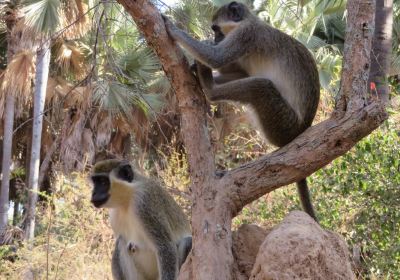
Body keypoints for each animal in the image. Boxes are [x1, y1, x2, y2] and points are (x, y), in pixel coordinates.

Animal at [161, 1, 320, 222]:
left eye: (216, 29)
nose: (216, 40)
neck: (248, 21)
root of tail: (302, 130)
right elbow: (239, 71)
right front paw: (194, 65)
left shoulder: (246, 34)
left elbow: (216, 58)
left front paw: (173, 28)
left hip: (284, 123)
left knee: (259, 86)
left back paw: (210, 88)